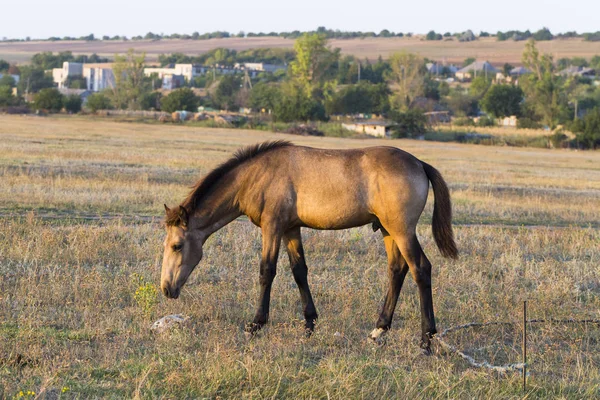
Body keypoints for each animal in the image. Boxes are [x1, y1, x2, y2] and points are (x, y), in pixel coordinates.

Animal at [162, 140, 458, 350]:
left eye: (177, 245)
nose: (167, 289)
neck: (256, 175)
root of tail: (419, 163)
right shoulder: (291, 229)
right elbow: (299, 272)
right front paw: (309, 324)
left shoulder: (273, 227)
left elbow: (266, 271)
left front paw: (256, 324)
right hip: (387, 230)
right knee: (397, 270)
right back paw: (378, 331)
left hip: (401, 230)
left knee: (421, 268)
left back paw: (426, 340)